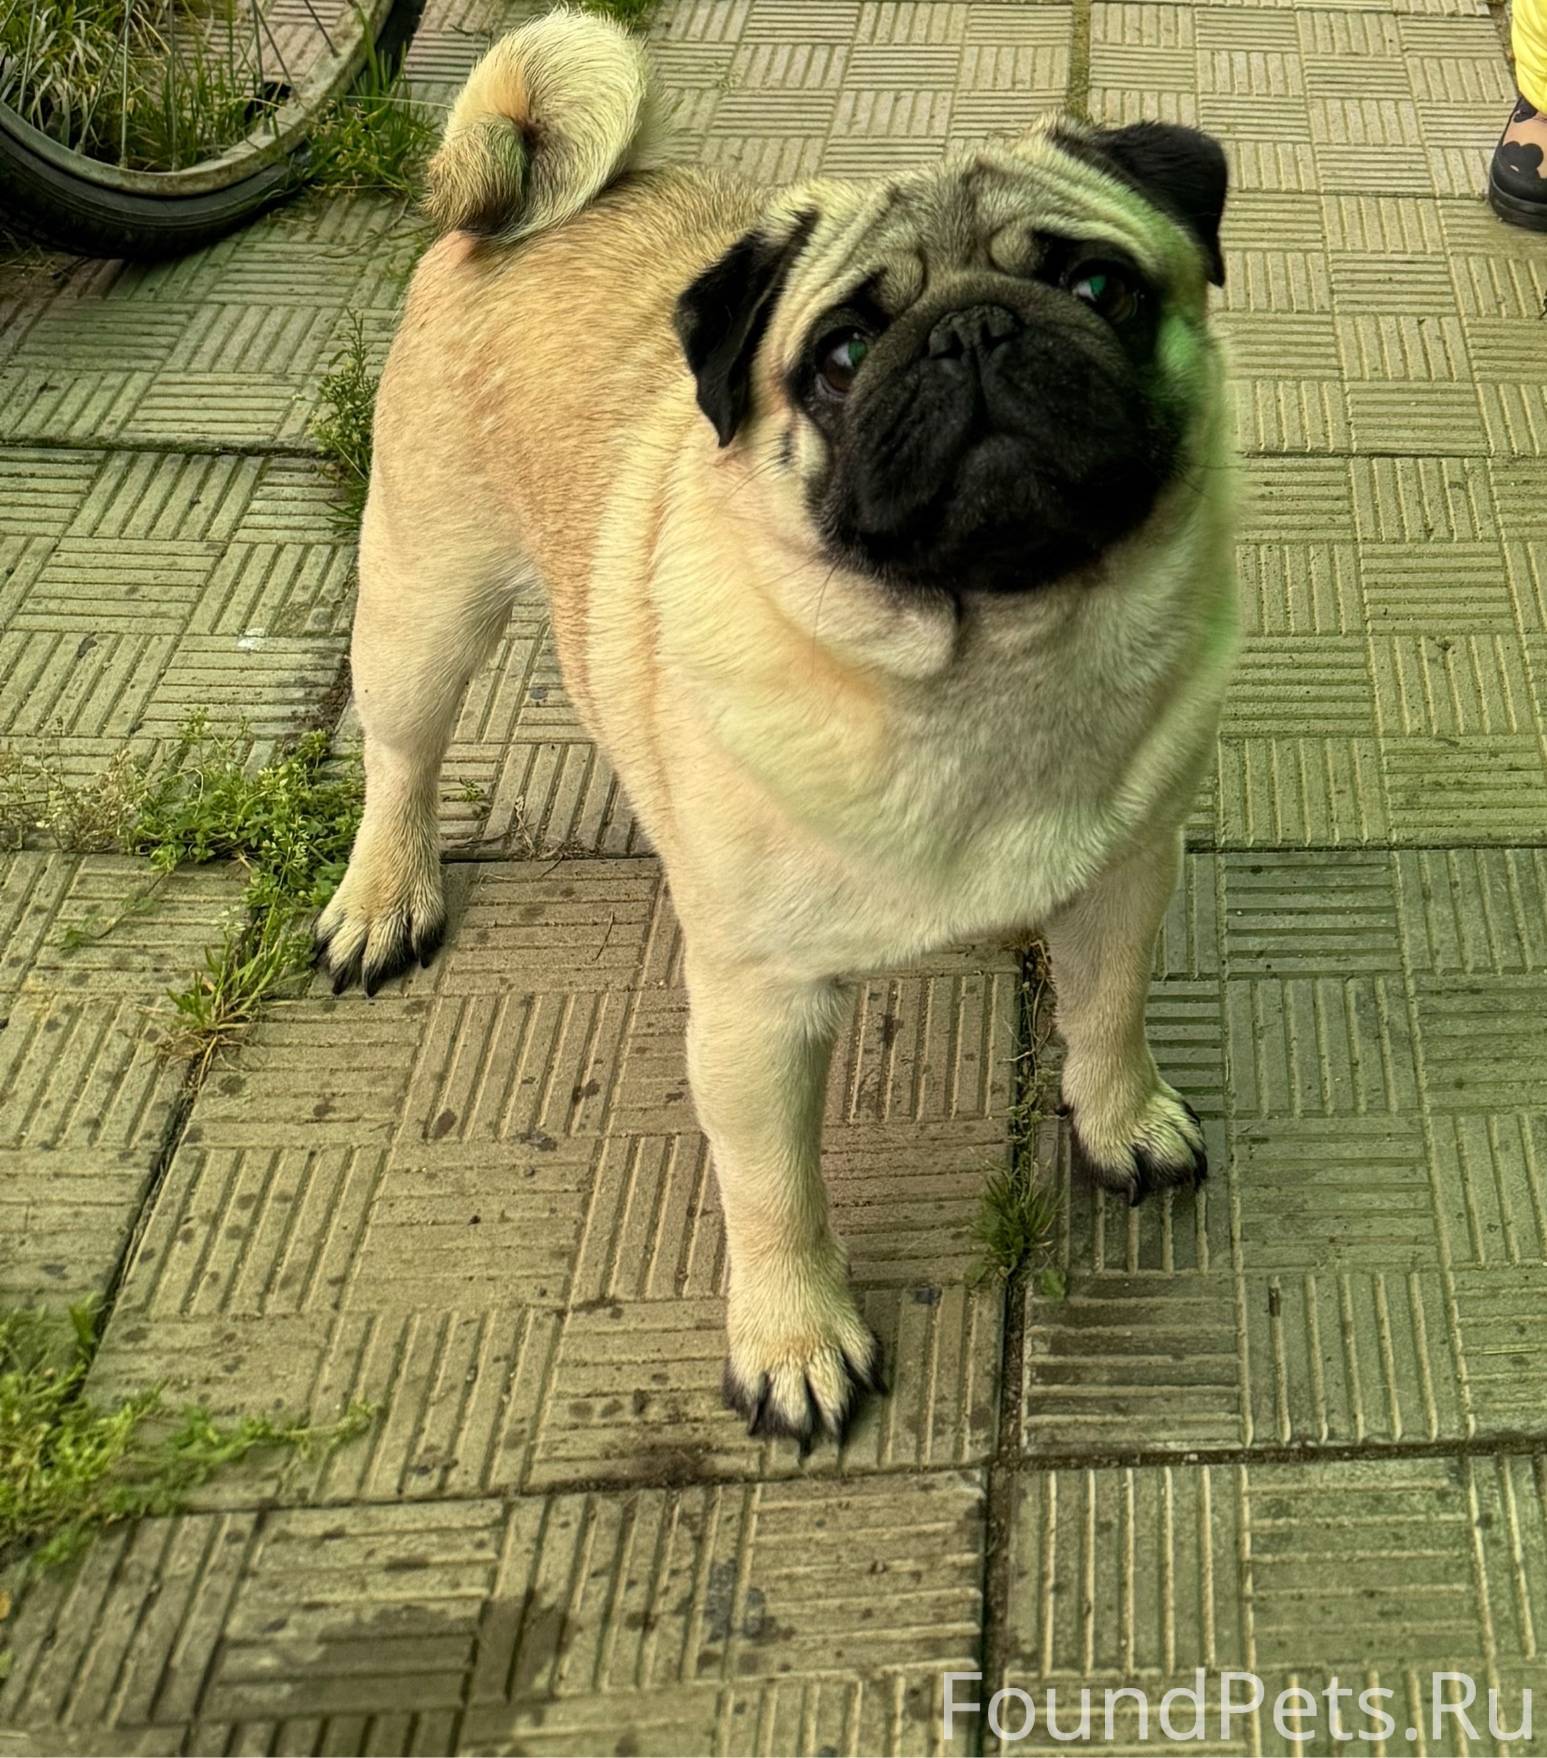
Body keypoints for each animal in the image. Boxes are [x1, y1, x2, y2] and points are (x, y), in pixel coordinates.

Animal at [315, 7, 1238, 1449]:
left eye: (1096, 287)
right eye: (841, 355)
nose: (973, 332)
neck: (985, 661)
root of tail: (520, 201)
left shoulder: (1124, 883)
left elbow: (1105, 1013)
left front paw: (1118, 1116)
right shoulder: (757, 1009)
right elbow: (771, 1186)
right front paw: (792, 1337)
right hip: (420, 600)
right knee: (401, 756)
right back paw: (381, 895)